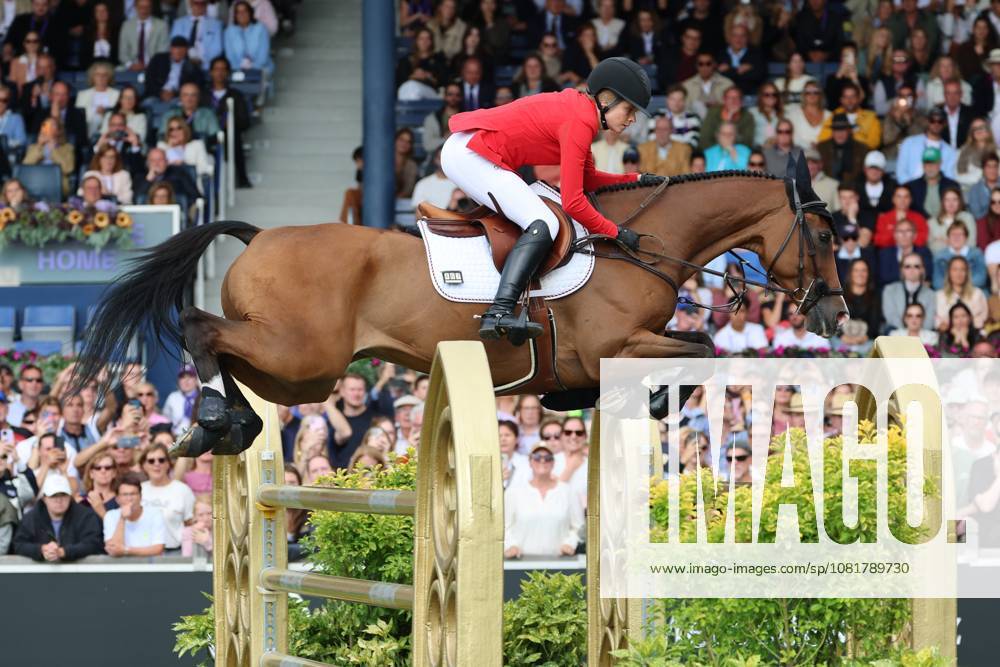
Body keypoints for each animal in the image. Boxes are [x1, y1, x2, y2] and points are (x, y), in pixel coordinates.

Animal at [73, 155, 848, 456]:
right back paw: (211, 419)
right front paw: (655, 400)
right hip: (304, 357)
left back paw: (231, 423)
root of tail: (258, 234)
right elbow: (705, 349)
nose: (837, 315)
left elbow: (694, 352)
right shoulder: (616, 345)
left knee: (229, 354)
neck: (637, 245)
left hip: (298, 373)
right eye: (823, 234)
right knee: (201, 328)